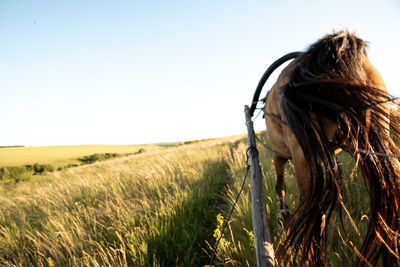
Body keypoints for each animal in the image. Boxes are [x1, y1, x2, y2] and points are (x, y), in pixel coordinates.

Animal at [262, 30, 400, 266]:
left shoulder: (279, 156)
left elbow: (280, 186)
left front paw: (285, 215)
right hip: (372, 138)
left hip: (302, 157)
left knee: (316, 217)